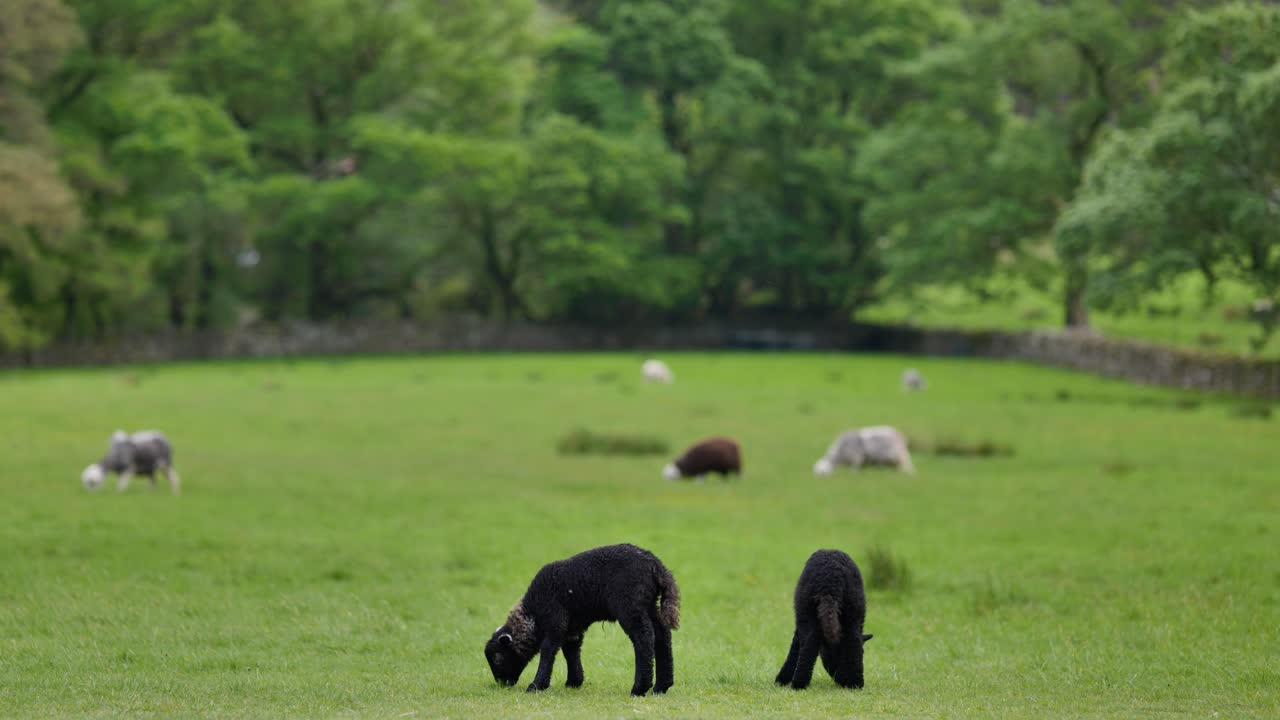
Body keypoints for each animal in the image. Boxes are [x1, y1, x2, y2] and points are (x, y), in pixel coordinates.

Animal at [484, 543, 680, 696]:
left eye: (498, 658)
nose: (502, 684)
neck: (534, 615)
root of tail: (656, 565)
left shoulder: (555, 618)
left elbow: (549, 649)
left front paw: (536, 686)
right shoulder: (573, 625)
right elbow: (571, 648)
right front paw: (574, 682)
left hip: (630, 605)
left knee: (644, 638)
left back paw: (640, 688)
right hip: (649, 603)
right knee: (663, 634)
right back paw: (661, 686)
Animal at [775, 549, 873, 690]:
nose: (839, 680)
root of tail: (831, 582)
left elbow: (794, 649)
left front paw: (781, 680)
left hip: (807, 612)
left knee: (808, 646)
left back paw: (798, 684)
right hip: (852, 612)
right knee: (853, 641)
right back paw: (856, 683)